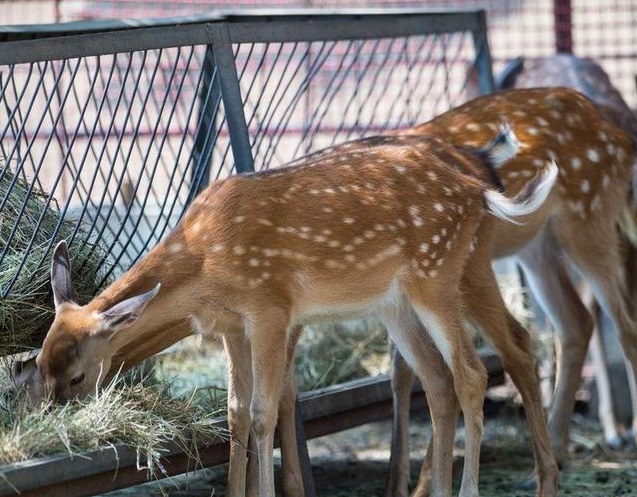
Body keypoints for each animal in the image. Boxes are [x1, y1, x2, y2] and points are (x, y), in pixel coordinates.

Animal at [17, 129, 556, 496]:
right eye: (37, 363)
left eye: (78, 376)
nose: (54, 423)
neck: (206, 261)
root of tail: (477, 188)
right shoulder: (233, 325)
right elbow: (234, 412)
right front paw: (235, 492)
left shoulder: (271, 307)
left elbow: (264, 412)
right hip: (397, 302)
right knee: (438, 377)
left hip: (438, 276)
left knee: (475, 370)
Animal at [388, 86, 636, 496]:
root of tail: (620, 139)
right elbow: (403, 369)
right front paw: (402, 481)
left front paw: (420, 482)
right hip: (538, 246)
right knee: (576, 321)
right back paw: (551, 459)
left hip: (589, 221)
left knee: (623, 325)